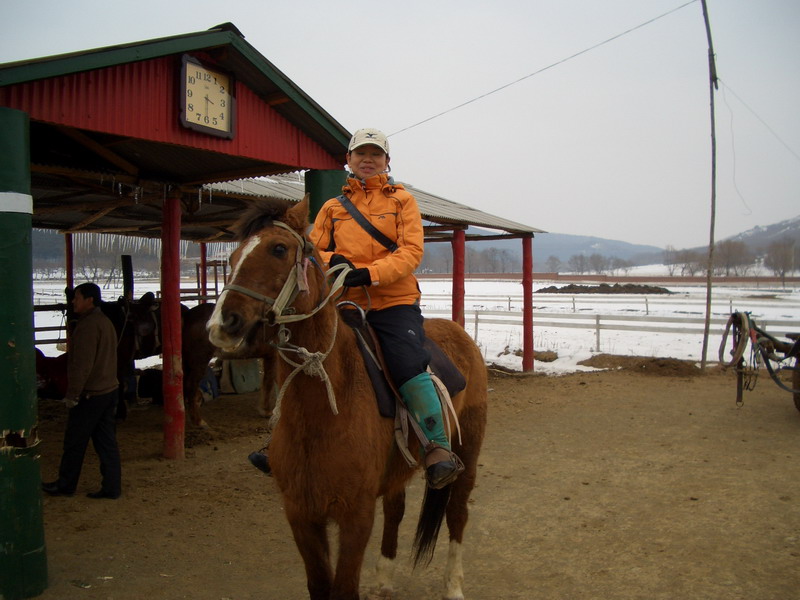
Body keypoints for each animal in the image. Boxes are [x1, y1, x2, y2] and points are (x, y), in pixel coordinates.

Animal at [208, 198, 488, 600]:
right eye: (231, 257)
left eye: (278, 249)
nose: (222, 325)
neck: (322, 410)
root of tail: (457, 331)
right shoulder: (301, 515)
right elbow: (319, 586)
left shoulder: (356, 516)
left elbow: (342, 588)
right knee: (396, 508)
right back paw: (384, 579)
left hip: (468, 450)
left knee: (457, 513)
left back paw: (453, 585)